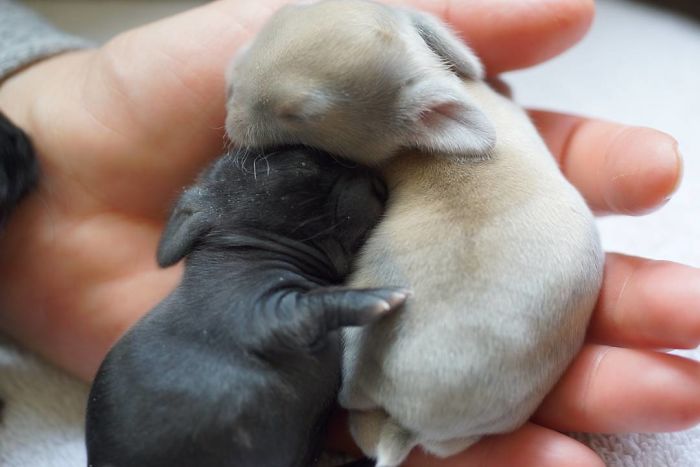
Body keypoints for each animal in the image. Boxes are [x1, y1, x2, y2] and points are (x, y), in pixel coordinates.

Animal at [85, 145, 410, 467]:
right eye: (303, 162)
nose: (378, 181)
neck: (246, 249)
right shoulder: (262, 315)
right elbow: (314, 305)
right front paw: (377, 296)